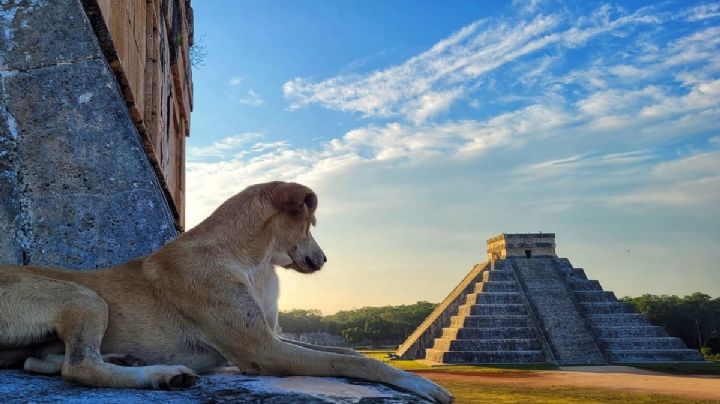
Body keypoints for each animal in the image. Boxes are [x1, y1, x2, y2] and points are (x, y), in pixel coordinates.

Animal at [0, 182, 450, 400]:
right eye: (309, 224)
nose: (324, 259)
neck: (249, 261)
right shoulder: (262, 350)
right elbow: (352, 362)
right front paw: (421, 385)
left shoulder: (271, 336)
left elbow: (351, 354)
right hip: (82, 297)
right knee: (78, 367)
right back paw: (162, 375)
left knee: (45, 362)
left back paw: (126, 359)